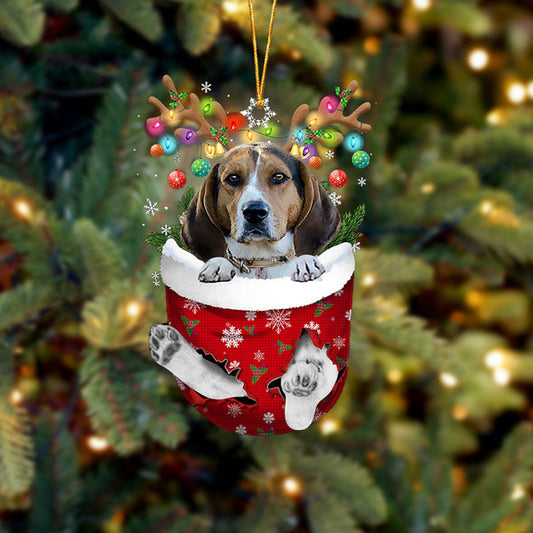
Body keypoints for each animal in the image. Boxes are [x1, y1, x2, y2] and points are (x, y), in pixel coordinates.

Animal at [181, 141, 338, 282]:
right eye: (233, 177)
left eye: (279, 176)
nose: (254, 212)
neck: (262, 262)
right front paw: (217, 264)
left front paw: (306, 261)